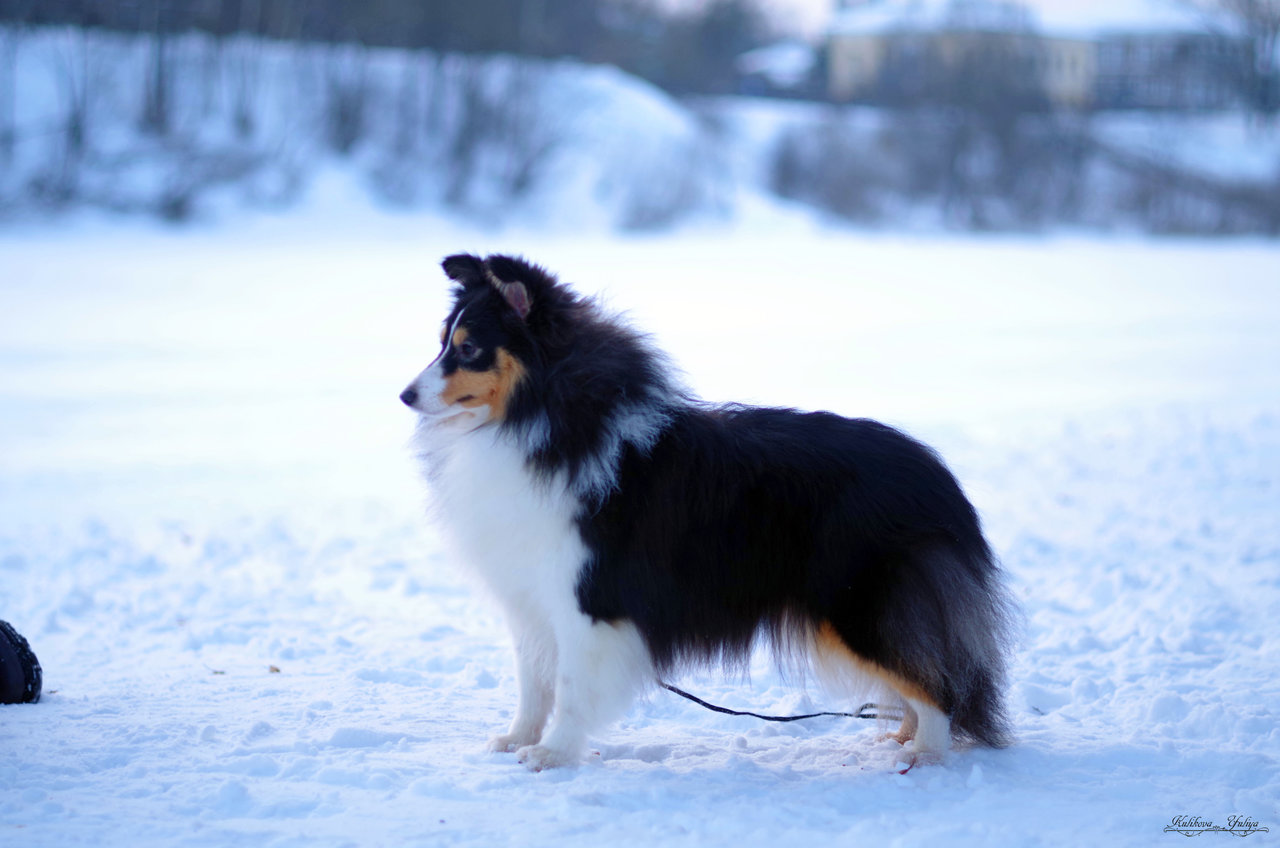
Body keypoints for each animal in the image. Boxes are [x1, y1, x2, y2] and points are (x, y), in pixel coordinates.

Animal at [394, 252, 1013, 768]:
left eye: (468, 348)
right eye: (444, 340)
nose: (405, 396)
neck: (544, 418)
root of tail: (941, 481)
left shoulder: (586, 600)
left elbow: (569, 686)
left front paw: (553, 754)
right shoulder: (531, 595)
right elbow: (533, 681)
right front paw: (516, 739)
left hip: (859, 605)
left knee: (938, 685)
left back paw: (924, 755)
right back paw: (901, 737)